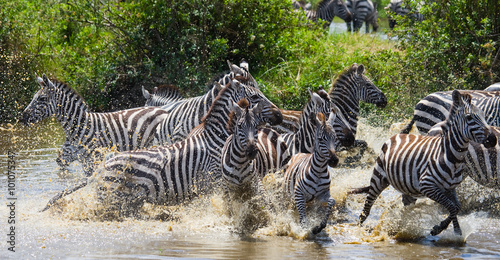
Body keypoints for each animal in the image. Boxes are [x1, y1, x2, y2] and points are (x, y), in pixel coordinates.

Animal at [21, 75, 170, 177]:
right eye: (33, 97)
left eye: (42, 99)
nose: (23, 117)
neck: (81, 126)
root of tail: (164, 110)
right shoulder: (85, 162)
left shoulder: (94, 159)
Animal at [352, 90, 496, 237]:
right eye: (469, 117)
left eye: (484, 115)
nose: (493, 139)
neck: (449, 155)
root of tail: (397, 135)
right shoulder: (427, 185)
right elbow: (451, 206)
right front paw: (438, 229)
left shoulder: (450, 188)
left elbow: (456, 207)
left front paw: (455, 232)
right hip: (379, 177)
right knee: (368, 205)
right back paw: (359, 228)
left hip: (408, 186)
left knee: (406, 205)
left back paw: (402, 226)